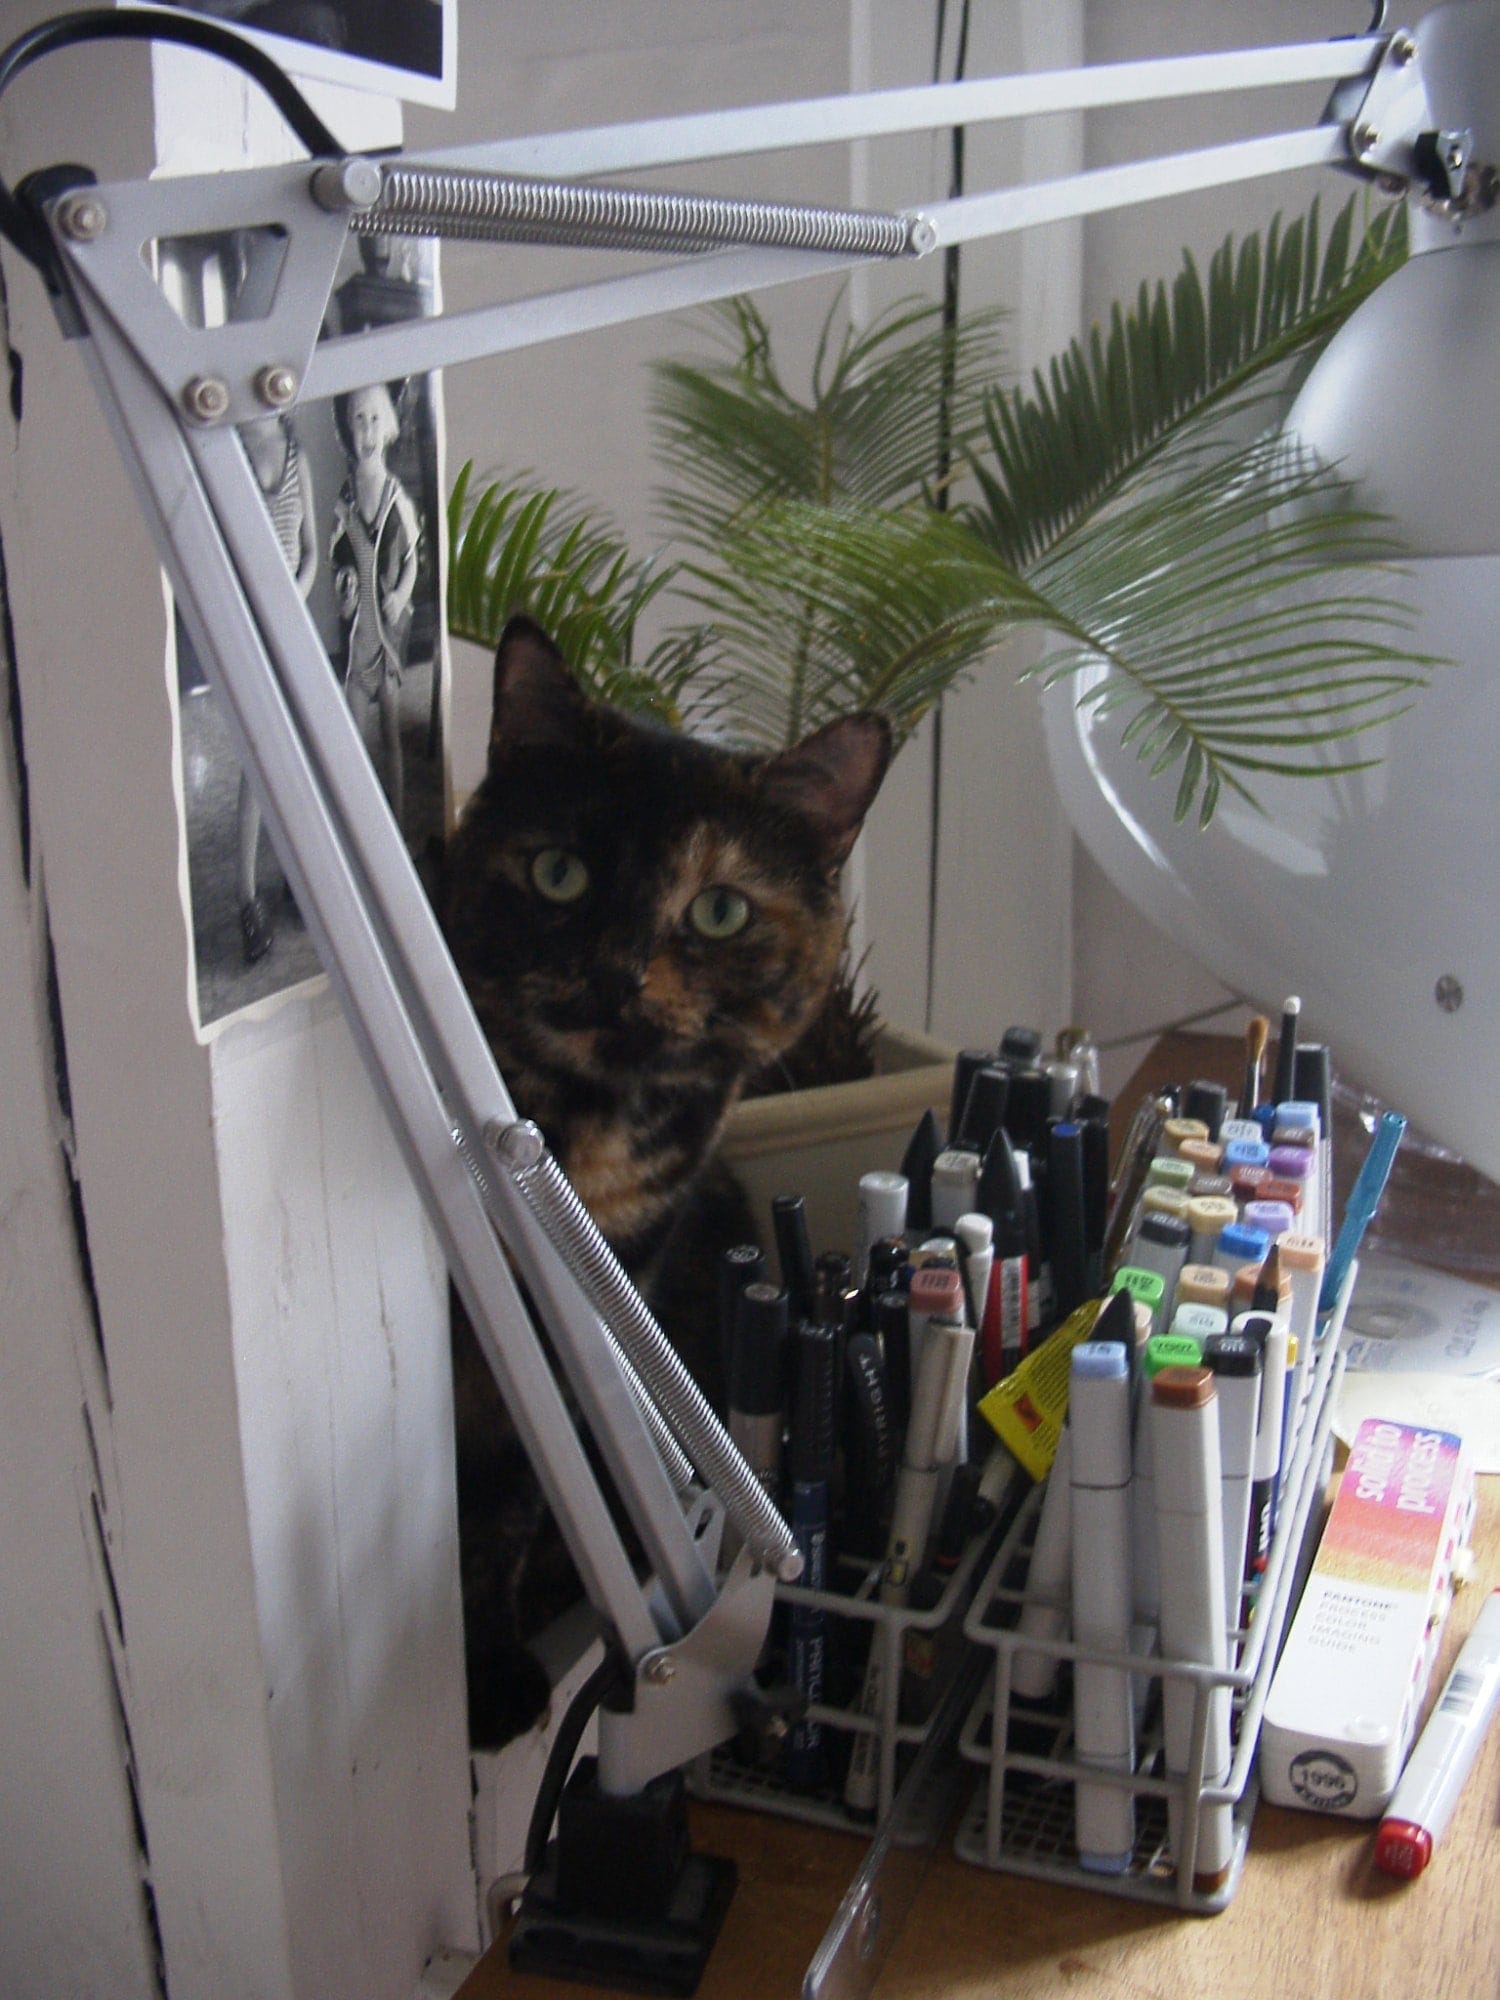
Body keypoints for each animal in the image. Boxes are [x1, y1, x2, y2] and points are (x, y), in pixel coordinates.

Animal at [444, 616, 892, 1744]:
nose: (616, 971)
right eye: (560, 872)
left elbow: (512, 1494)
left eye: (720, 909)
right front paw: (483, 1674)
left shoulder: (606, 1293)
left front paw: (494, 1665)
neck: (586, 1132)